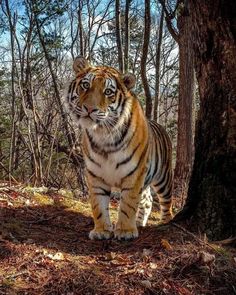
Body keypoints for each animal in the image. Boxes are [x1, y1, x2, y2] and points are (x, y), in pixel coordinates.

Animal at [64, 56, 173, 242]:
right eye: (85, 85)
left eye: (108, 92)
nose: (89, 109)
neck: (103, 135)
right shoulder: (95, 175)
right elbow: (98, 205)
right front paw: (101, 231)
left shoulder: (134, 174)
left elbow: (128, 204)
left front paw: (125, 231)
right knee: (148, 200)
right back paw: (140, 223)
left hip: (163, 178)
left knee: (167, 201)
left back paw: (165, 223)